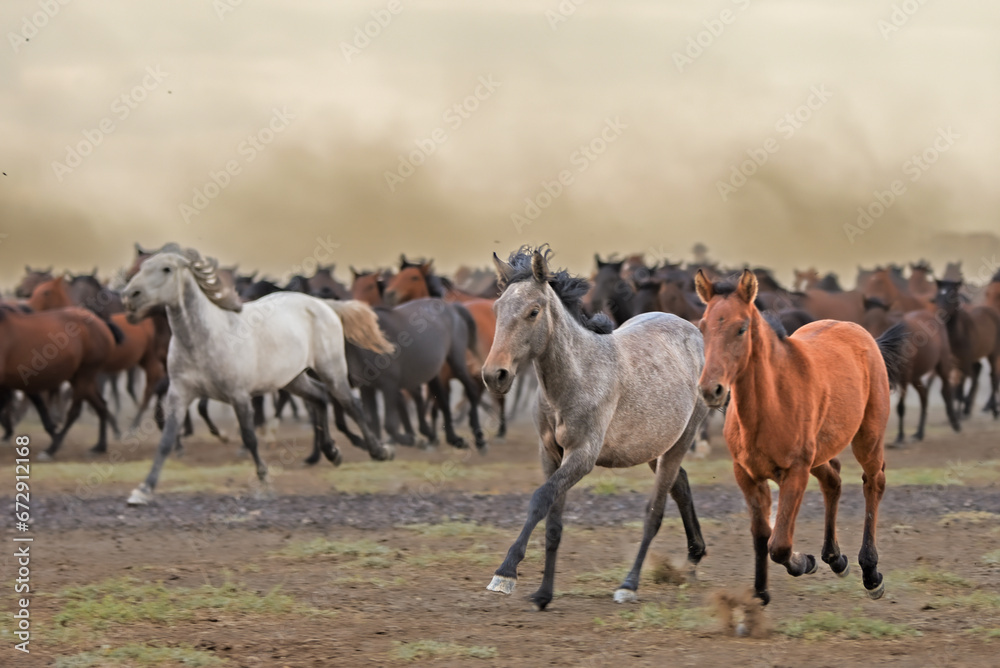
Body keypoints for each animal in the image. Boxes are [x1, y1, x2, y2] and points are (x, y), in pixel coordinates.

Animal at [480, 247, 708, 612]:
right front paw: (543, 594)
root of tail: (692, 329)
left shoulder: (582, 456)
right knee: (681, 484)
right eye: (497, 308)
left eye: (533, 311)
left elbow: (540, 500)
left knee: (655, 512)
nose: (494, 375)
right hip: (654, 445)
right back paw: (695, 554)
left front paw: (505, 574)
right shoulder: (551, 454)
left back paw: (629, 584)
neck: (578, 376)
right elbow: (553, 522)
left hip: (679, 441)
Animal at [696, 268, 908, 604]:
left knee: (873, 483)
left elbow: (779, 544)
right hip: (820, 452)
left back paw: (870, 572)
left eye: (741, 328)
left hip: (868, 438)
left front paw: (804, 561)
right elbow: (761, 535)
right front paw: (760, 592)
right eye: (703, 327)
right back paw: (835, 558)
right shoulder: (747, 474)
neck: (769, 406)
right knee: (833, 481)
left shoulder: (794, 472)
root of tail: (862, 333)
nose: (710, 389)